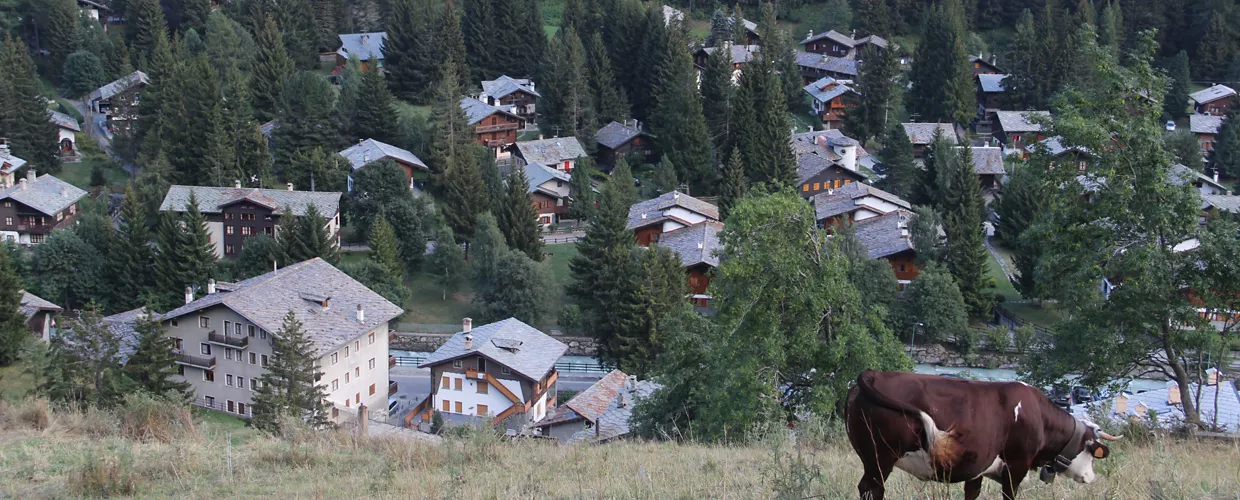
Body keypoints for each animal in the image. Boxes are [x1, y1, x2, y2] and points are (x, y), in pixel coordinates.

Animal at [848, 369, 1120, 498]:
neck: (1039, 418)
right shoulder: (1015, 468)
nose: (1092, 477)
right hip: (881, 458)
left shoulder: (976, 471)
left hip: (869, 456)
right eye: (1093, 452)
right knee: (872, 490)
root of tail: (874, 374)